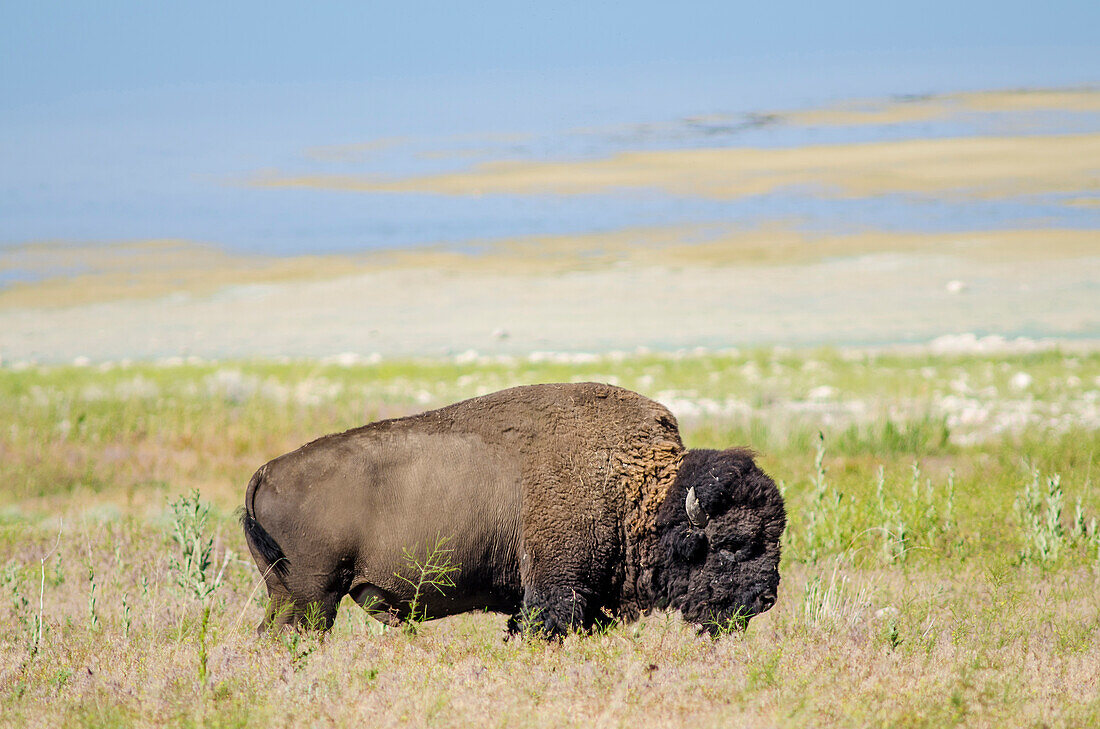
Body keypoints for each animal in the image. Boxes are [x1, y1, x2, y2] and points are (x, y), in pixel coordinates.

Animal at [245, 382, 787, 637]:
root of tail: (267, 470)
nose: (766, 599)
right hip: (311, 598)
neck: (632, 486)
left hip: (291, 597)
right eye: (732, 545)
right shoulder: (556, 590)